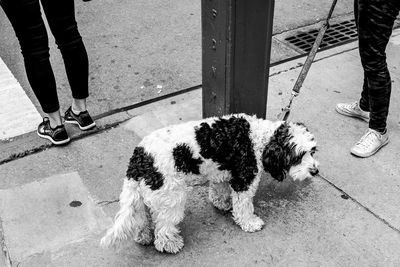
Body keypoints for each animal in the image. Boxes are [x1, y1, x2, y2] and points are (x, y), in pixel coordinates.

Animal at [101, 114, 318, 254]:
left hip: (148, 195)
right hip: (171, 197)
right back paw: (170, 244)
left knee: (142, 219)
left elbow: (219, 191)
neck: (259, 140)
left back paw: (144, 236)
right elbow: (244, 207)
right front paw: (250, 223)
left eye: (312, 151)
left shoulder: (221, 174)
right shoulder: (244, 181)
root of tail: (139, 156)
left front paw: (222, 204)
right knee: (163, 227)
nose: (315, 171)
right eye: (298, 156)